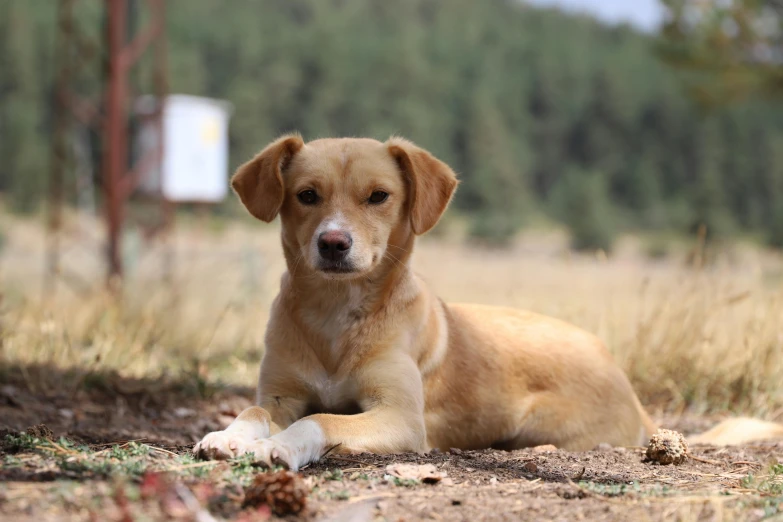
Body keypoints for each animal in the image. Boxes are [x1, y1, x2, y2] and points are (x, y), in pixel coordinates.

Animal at [194, 133, 783, 468]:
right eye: (306, 196)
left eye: (378, 196)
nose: (333, 243)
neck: (335, 317)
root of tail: (631, 389)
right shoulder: (281, 395)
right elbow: (254, 409)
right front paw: (228, 436)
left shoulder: (401, 417)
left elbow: (324, 420)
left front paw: (279, 446)